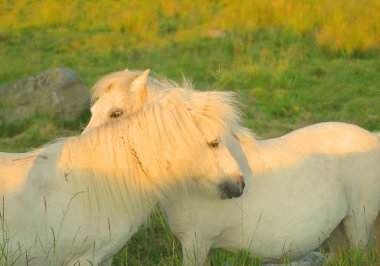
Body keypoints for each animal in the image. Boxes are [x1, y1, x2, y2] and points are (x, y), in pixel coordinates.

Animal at [82, 68, 380, 264]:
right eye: (92, 111)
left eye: (116, 114)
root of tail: (372, 138)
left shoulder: (195, 243)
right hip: (338, 232)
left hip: (358, 225)